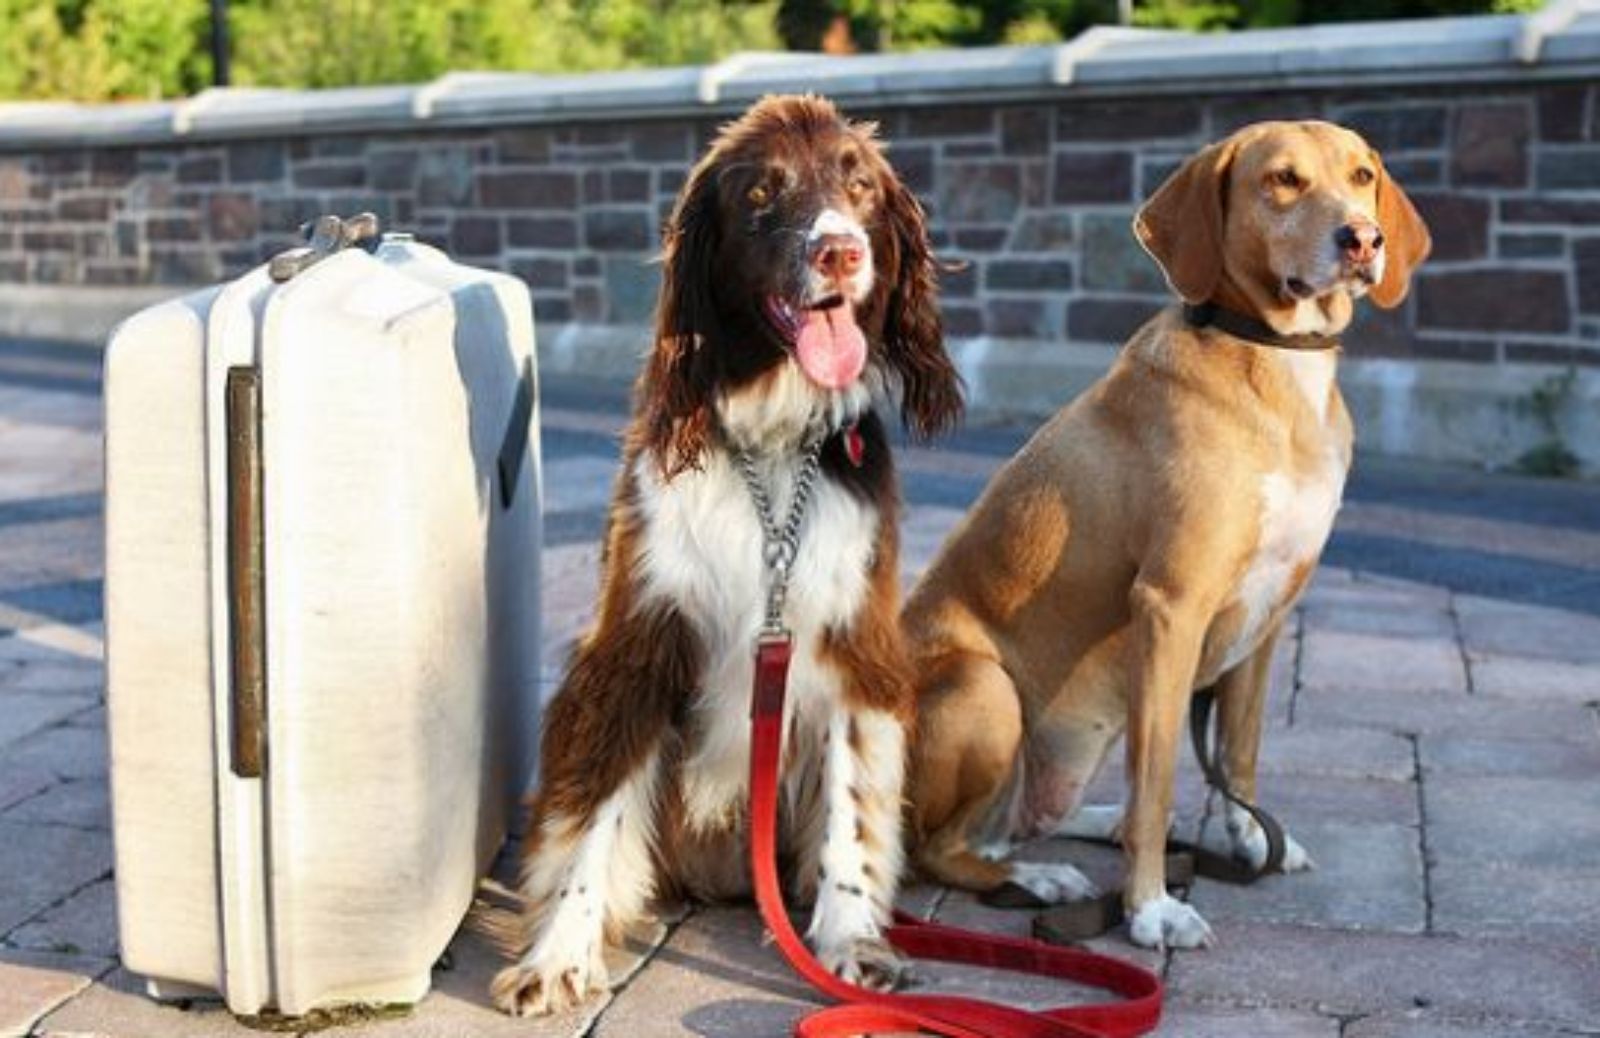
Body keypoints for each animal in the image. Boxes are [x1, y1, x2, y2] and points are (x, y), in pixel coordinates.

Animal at [489, 95, 960, 1010]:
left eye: (858, 184)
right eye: (761, 195)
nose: (840, 249)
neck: (772, 440)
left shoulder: (854, 645)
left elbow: (851, 807)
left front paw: (850, 938)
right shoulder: (636, 642)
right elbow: (594, 811)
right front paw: (559, 952)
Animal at [908, 121, 1433, 946]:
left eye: (1363, 176)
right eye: (1282, 180)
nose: (1362, 238)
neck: (1276, 364)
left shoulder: (1270, 615)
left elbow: (1239, 753)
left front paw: (1248, 842)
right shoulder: (1170, 608)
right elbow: (1155, 779)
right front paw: (1150, 908)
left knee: (1007, 826)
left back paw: (1092, 829)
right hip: (982, 686)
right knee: (937, 850)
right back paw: (1043, 877)